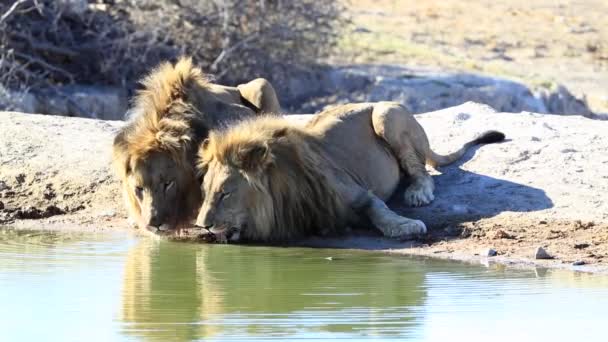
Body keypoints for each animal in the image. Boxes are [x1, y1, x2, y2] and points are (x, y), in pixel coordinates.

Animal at [195, 102, 504, 243]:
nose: (202, 225)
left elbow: (378, 209)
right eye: (205, 192)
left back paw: (417, 194)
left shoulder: (354, 192)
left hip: (385, 114)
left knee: (422, 172)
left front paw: (405, 225)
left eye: (225, 194)